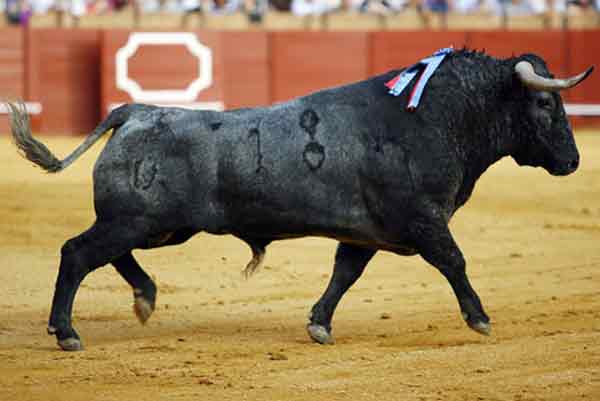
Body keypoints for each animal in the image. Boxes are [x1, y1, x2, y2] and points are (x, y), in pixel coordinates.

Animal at [7, 50, 592, 350]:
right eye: (544, 103)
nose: (572, 162)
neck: (433, 116)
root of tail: (137, 110)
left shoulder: (366, 232)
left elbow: (344, 275)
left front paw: (319, 324)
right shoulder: (423, 221)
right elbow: (454, 261)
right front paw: (480, 319)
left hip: (155, 226)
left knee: (106, 254)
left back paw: (145, 298)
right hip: (137, 219)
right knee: (77, 253)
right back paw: (67, 332)